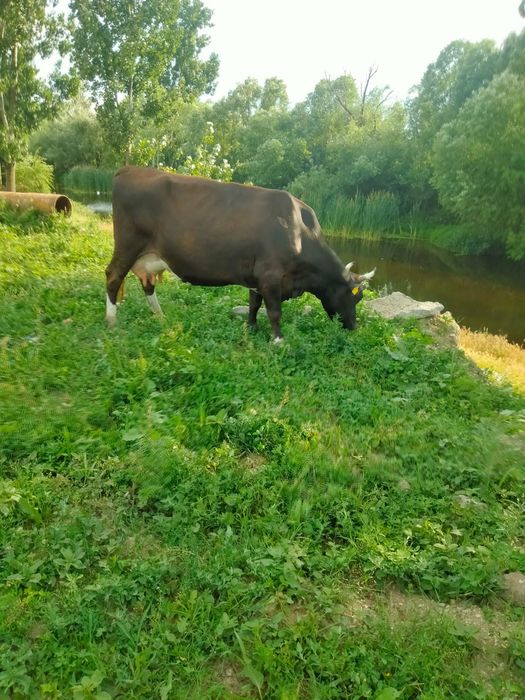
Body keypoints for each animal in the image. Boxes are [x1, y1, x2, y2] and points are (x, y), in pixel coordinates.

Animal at [106, 166, 376, 341]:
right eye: (356, 298)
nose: (353, 327)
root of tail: (128, 170)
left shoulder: (256, 277)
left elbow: (254, 305)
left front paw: (251, 328)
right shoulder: (270, 276)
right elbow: (274, 311)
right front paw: (278, 340)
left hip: (148, 257)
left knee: (147, 283)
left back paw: (160, 317)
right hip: (127, 245)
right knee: (113, 276)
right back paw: (111, 321)